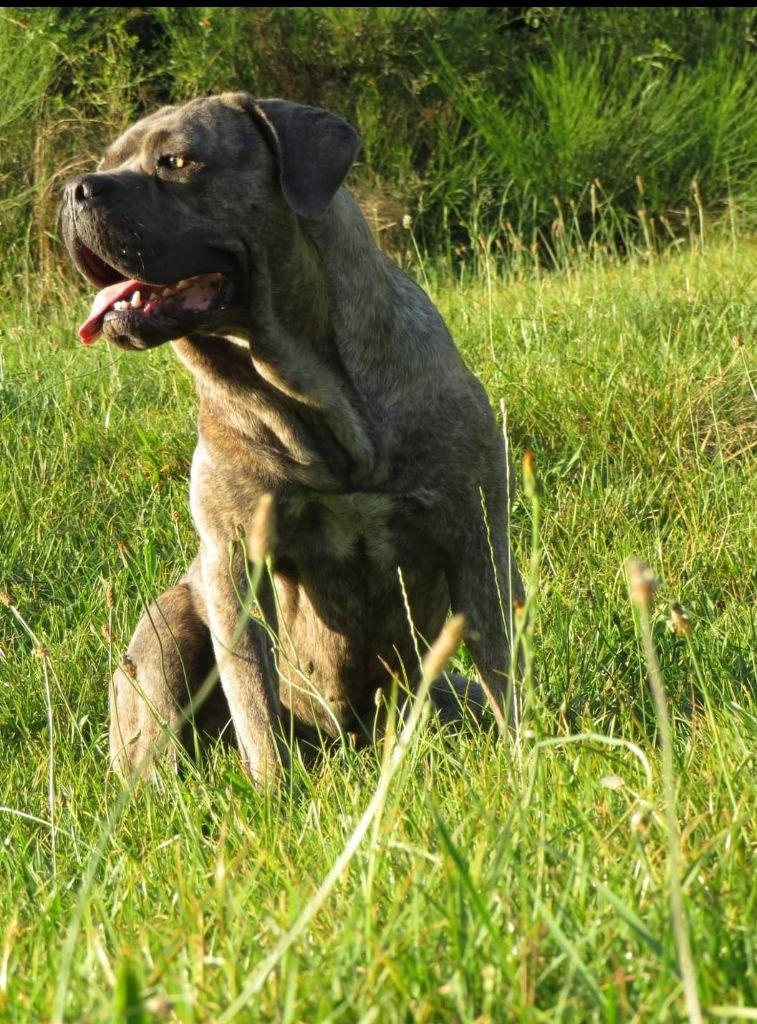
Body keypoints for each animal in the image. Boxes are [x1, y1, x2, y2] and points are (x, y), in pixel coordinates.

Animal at [61, 94, 524, 783]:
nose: (74, 189)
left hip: (443, 692)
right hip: (168, 637)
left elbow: (502, 667)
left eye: (176, 162)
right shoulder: (233, 561)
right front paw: (275, 793)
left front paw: (531, 759)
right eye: (107, 161)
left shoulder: (476, 533)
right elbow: (255, 701)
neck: (316, 393)